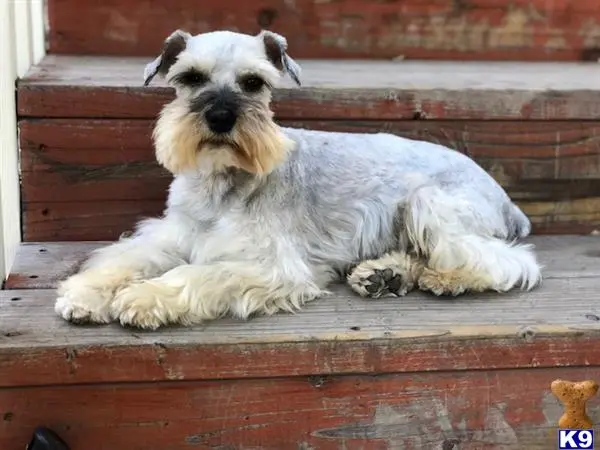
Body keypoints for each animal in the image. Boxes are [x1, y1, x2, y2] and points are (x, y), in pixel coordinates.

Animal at [56, 29, 544, 330]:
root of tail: (506, 201)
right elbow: (126, 257)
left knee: (508, 263)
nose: (220, 117)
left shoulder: (270, 266)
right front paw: (84, 293)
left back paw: (445, 278)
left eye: (254, 83)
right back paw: (382, 275)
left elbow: (195, 275)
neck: (223, 184)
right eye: (190, 77)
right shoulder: (170, 235)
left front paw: (143, 298)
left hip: (431, 204)